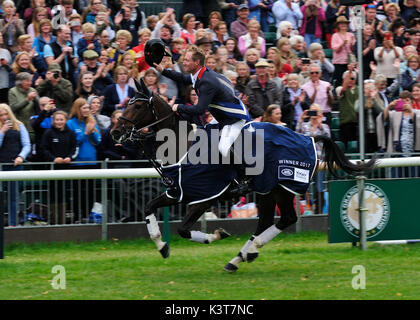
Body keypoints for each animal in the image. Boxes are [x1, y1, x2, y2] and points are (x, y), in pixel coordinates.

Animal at [110, 80, 376, 268]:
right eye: (128, 102)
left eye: (138, 105)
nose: (115, 131)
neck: (181, 145)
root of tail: (308, 137)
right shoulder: (178, 192)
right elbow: (148, 207)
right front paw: (162, 246)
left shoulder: (205, 196)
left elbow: (183, 229)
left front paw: (215, 235)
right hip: (268, 191)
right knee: (271, 221)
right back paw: (240, 257)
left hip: (281, 188)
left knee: (284, 219)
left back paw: (247, 252)